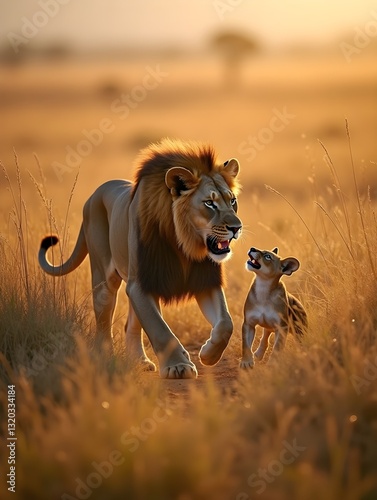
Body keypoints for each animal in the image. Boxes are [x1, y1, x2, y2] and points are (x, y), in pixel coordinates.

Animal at [39, 139, 242, 376]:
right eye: (209, 203)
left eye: (232, 201)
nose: (237, 228)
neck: (184, 244)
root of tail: (92, 196)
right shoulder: (140, 284)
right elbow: (159, 328)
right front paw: (178, 365)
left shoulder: (203, 281)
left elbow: (226, 322)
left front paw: (208, 354)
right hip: (105, 279)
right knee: (103, 321)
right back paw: (106, 357)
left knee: (131, 324)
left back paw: (140, 361)